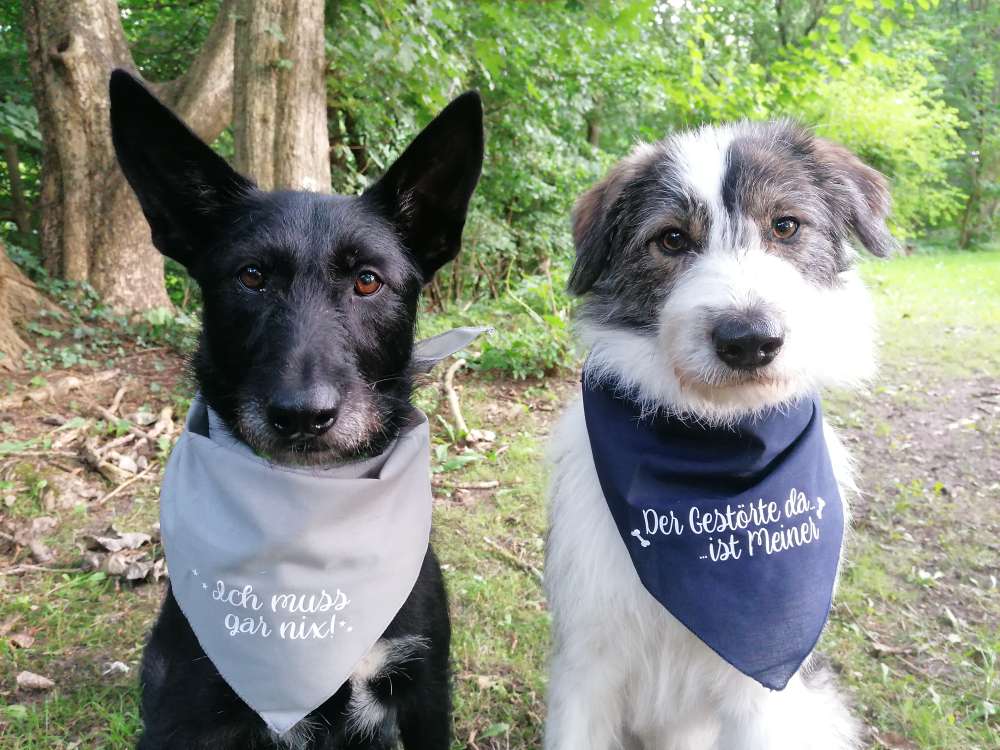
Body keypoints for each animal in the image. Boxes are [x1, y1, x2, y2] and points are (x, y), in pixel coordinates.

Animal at [109, 70, 484, 750]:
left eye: (368, 280)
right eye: (251, 276)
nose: (302, 415)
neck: (312, 508)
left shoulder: (425, 691)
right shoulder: (189, 711)